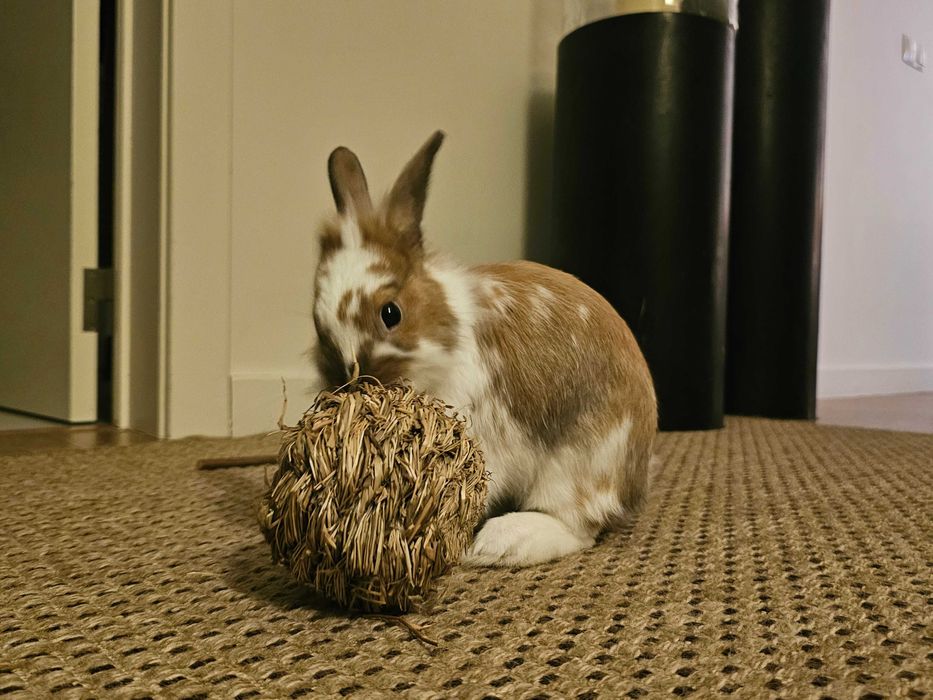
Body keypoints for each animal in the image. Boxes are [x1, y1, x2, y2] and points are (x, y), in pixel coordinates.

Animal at [311, 131, 657, 567]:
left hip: (581, 463)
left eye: (391, 313)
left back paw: (498, 544)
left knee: (577, 527)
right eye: (317, 324)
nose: (355, 379)